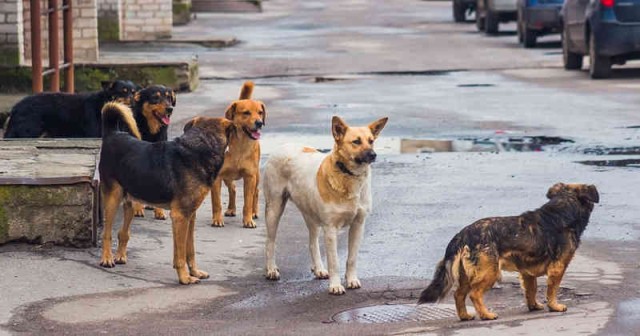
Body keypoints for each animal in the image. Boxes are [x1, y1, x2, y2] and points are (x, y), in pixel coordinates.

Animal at [4, 80, 138, 138]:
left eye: (133, 92)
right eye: (123, 91)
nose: (132, 100)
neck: (104, 102)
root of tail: (16, 107)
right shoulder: (96, 132)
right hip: (29, 131)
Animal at [98, 101, 232, 284]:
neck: (201, 146)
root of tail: (112, 133)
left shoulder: (190, 216)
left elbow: (189, 250)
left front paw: (195, 272)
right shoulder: (180, 216)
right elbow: (180, 254)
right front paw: (184, 277)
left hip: (131, 200)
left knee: (123, 232)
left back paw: (120, 256)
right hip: (113, 198)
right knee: (106, 233)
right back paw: (107, 258)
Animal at [129, 85, 178, 219]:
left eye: (169, 97)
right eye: (155, 97)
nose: (170, 109)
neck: (151, 131)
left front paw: (159, 211)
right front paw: (137, 208)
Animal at [210, 81, 264, 228]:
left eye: (260, 112)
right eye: (246, 113)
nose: (259, 123)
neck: (240, 145)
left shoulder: (250, 177)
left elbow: (248, 202)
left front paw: (248, 220)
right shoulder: (217, 177)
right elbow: (216, 202)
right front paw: (217, 219)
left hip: (256, 175)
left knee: (256, 192)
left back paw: (254, 212)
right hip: (227, 176)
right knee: (232, 188)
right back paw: (231, 209)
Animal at [262, 115, 390, 294]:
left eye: (371, 141)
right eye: (356, 142)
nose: (373, 155)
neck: (347, 175)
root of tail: (283, 146)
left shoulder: (358, 225)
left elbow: (352, 258)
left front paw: (351, 280)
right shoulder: (330, 229)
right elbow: (334, 261)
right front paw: (335, 285)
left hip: (311, 215)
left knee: (312, 242)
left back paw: (319, 269)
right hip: (274, 209)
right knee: (270, 242)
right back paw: (271, 269)